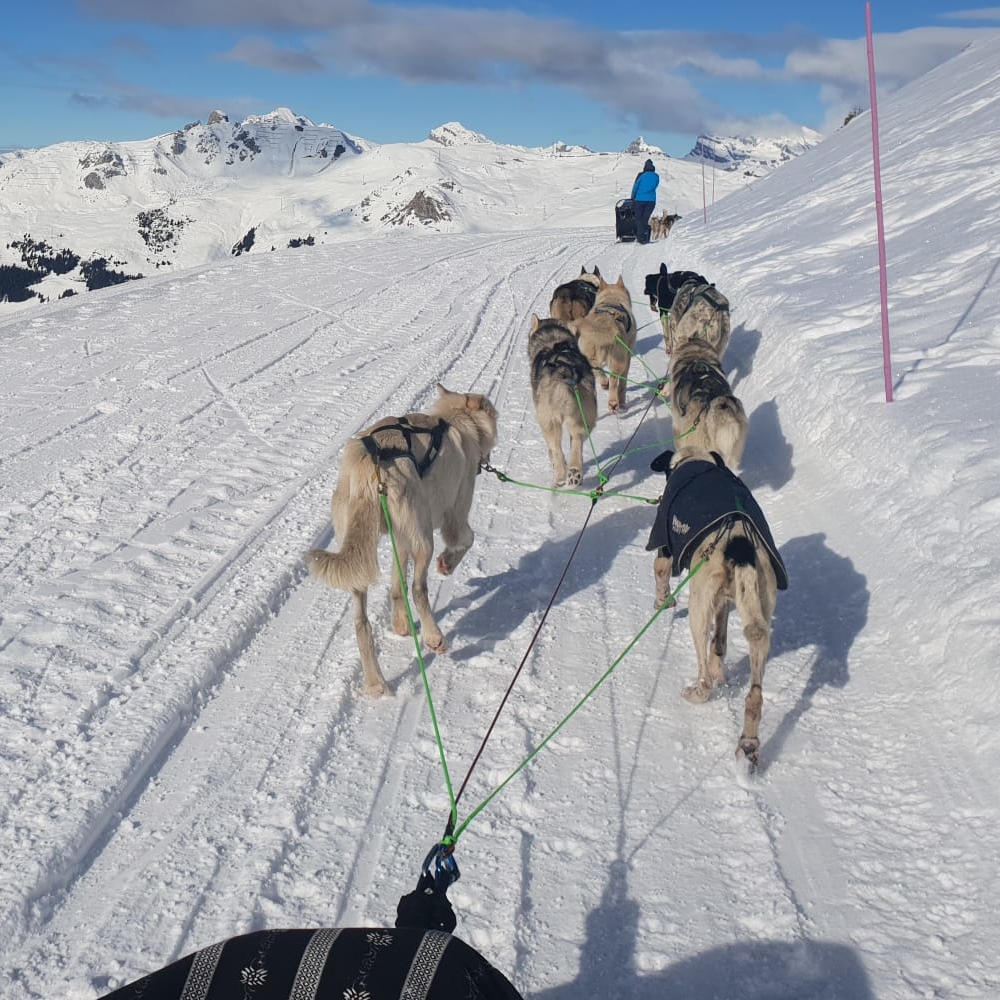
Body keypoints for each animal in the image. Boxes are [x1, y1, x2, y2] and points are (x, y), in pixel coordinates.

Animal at [306, 382, 498, 696]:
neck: (456, 420)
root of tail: (370, 468)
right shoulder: (454, 515)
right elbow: (465, 540)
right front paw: (448, 563)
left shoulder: (402, 541)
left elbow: (396, 587)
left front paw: (400, 624)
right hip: (424, 542)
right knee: (420, 590)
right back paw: (434, 637)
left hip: (363, 559)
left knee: (362, 623)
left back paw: (375, 683)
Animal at [528, 310, 596, 486]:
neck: (554, 343)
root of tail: (564, 369)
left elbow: (552, 449)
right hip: (584, 416)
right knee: (577, 440)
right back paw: (574, 472)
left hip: (549, 420)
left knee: (557, 449)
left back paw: (559, 476)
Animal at [568, 272, 636, 412]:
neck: (612, 299)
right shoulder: (627, 359)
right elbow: (623, 383)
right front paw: (622, 401)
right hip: (618, 361)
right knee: (614, 381)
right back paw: (613, 402)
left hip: (589, 357)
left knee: (598, 371)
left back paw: (604, 383)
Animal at [648, 450, 788, 768]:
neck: (695, 461)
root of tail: (740, 544)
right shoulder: (724, 601)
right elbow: (720, 642)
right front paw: (720, 667)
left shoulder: (663, 547)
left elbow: (660, 571)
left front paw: (662, 602)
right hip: (758, 607)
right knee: (754, 690)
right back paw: (749, 743)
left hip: (699, 605)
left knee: (704, 674)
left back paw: (697, 691)